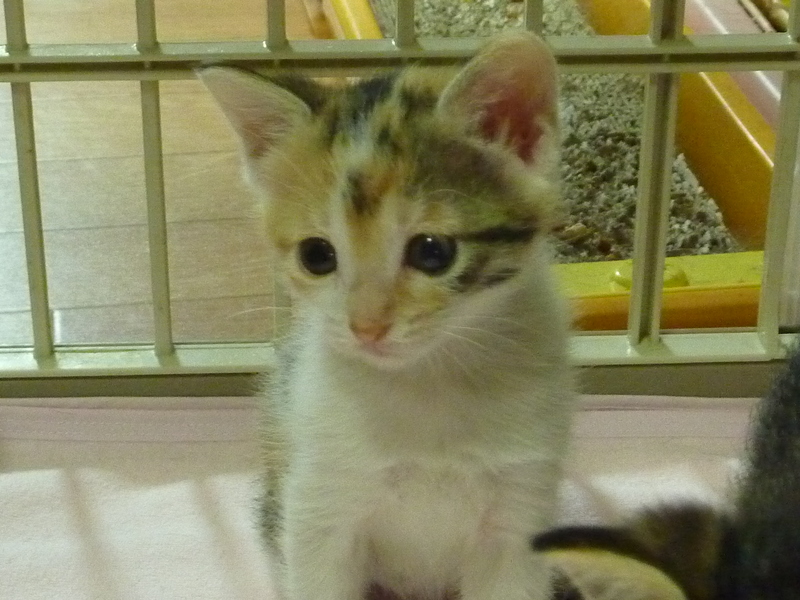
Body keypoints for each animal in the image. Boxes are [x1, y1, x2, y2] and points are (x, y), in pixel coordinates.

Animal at [198, 31, 574, 600]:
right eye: (316, 255)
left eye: (433, 252)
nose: (366, 327)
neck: (428, 383)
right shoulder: (317, 504)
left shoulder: (520, 508)